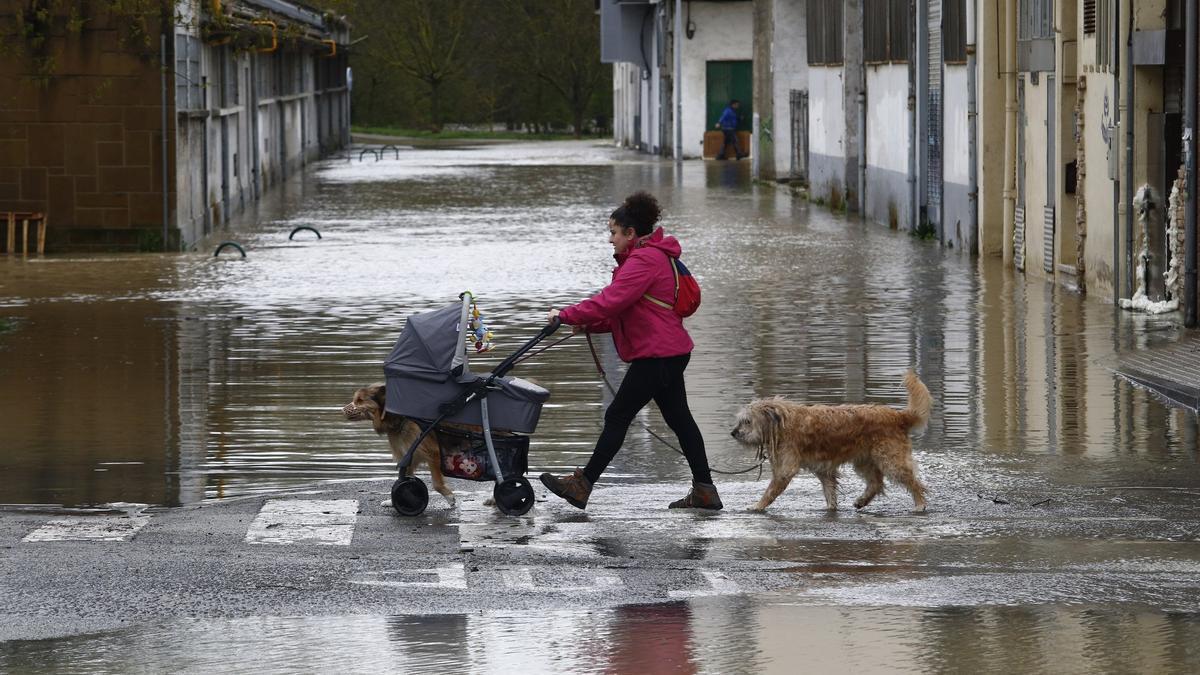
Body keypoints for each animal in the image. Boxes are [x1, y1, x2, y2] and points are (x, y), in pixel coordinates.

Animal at [724, 369, 931, 511]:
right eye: (740, 421)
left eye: (747, 421)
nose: (733, 433)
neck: (781, 423)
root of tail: (898, 416)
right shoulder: (823, 469)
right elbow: (829, 491)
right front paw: (831, 508)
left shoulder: (786, 468)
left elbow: (771, 490)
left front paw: (757, 506)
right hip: (864, 460)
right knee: (876, 483)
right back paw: (862, 500)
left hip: (890, 459)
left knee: (912, 481)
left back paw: (920, 504)